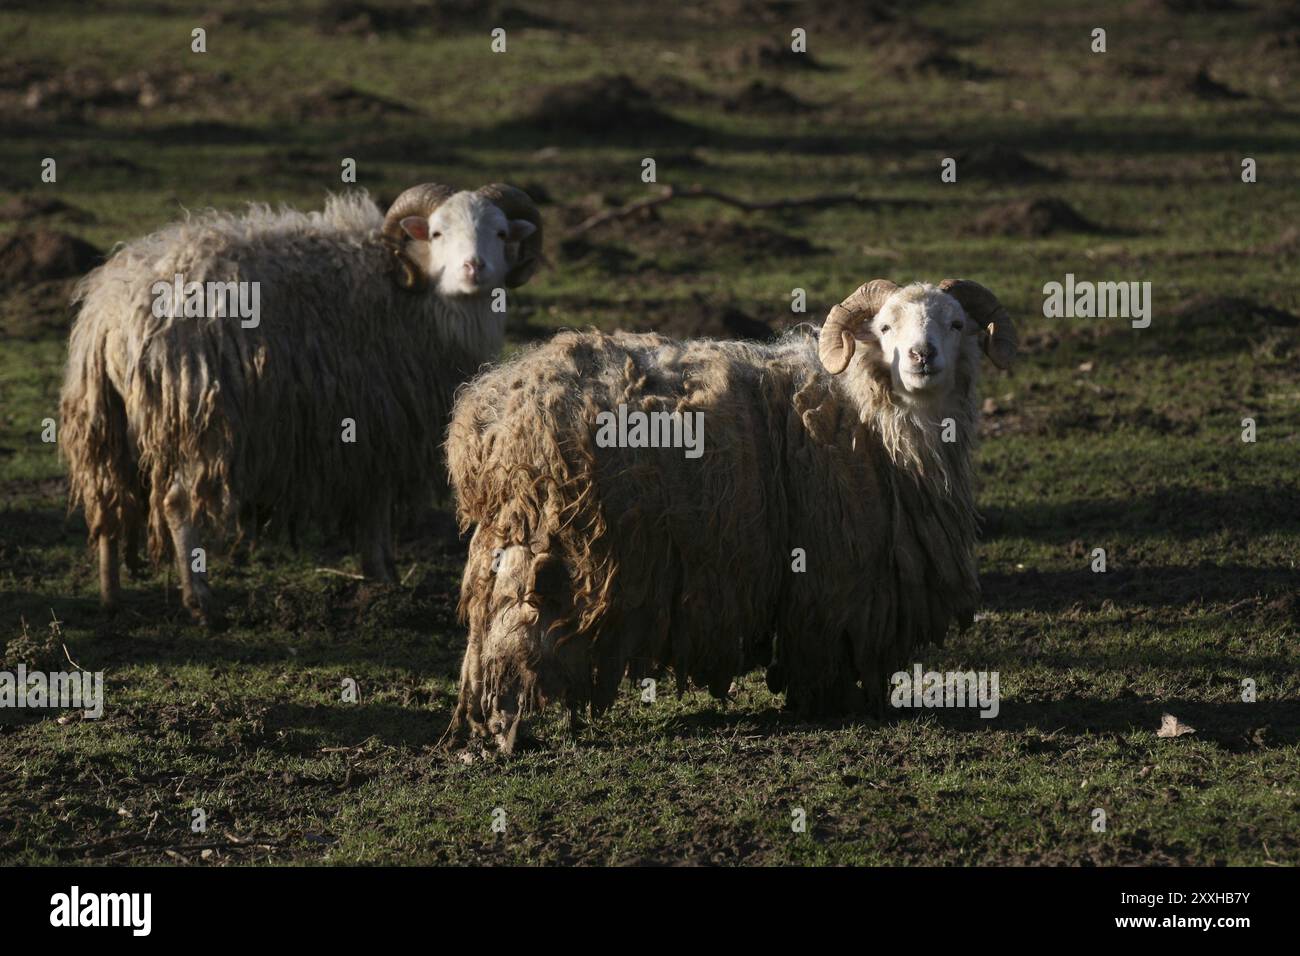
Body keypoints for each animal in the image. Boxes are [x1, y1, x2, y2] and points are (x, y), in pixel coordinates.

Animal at [59, 183, 543, 624]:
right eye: (438, 232)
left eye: (501, 232)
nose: (474, 268)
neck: (413, 288)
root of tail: (110, 314)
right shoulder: (379, 419)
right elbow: (376, 503)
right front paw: (383, 575)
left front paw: (381, 574)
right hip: (197, 415)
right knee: (178, 504)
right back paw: (199, 600)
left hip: (106, 419)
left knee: (107, 500)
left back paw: (110, 596)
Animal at [441, 278, 1019, 754]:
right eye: (884, 327)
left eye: (957, 324)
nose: (922, 356)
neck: (866, 412)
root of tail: (485, 412)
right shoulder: (833, 576)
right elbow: (825, 643)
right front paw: (833, 703)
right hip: (545, 542)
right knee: (509, 632)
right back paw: (506, 728)